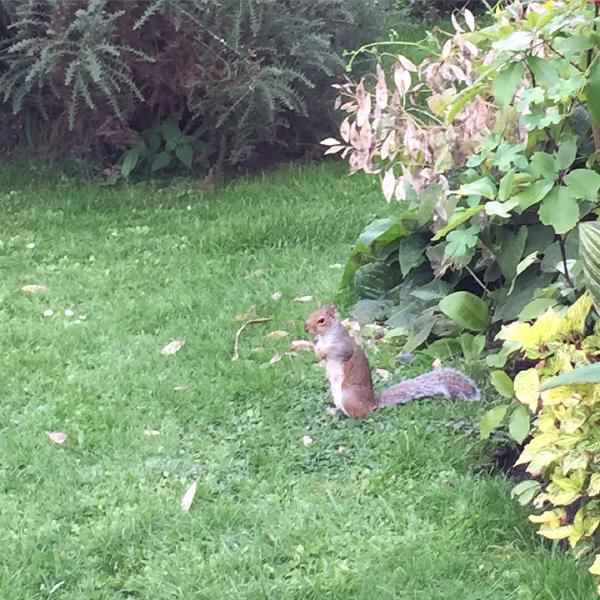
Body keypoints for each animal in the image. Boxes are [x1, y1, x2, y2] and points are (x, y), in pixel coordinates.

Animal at [302, 304, 480, 418]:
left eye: (321, 320)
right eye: (310, 315)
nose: (306, 328)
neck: (325, 337)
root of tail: (372, 403)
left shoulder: (344, 346)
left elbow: (338, 352)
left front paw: (322, 352)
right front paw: (317, 351)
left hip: (348, 395)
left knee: (360, 415)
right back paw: (333, 411)